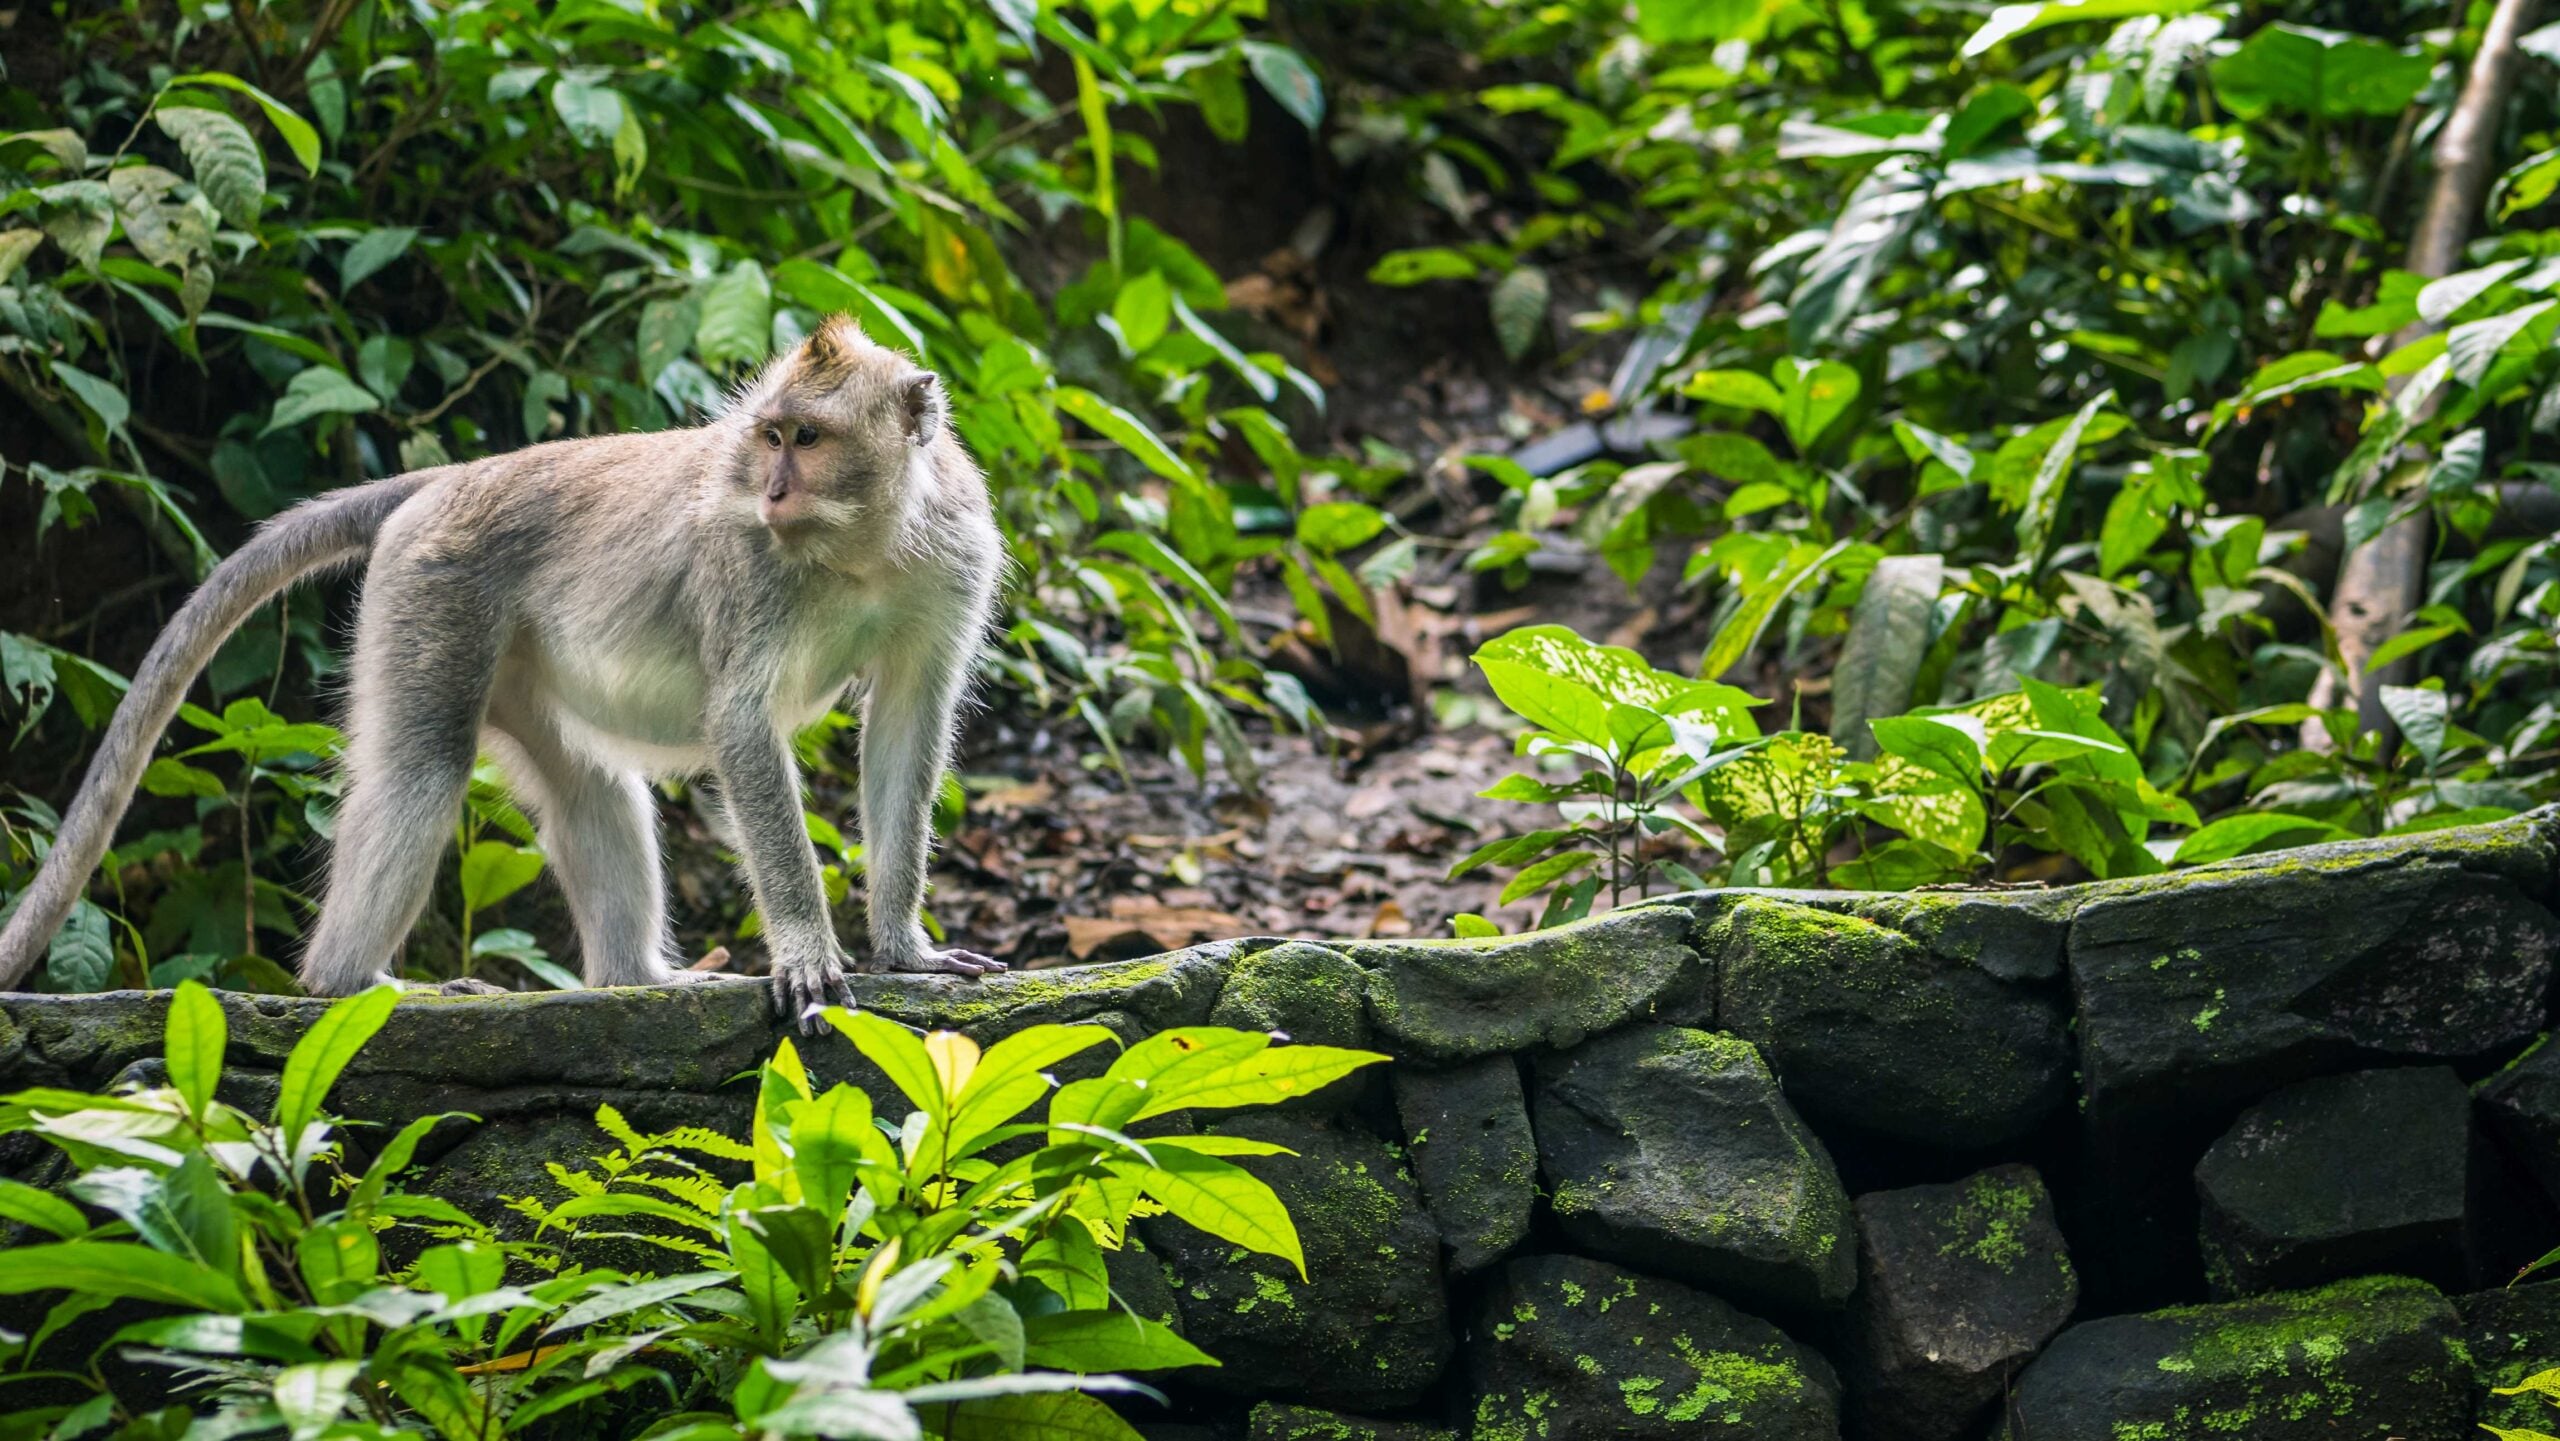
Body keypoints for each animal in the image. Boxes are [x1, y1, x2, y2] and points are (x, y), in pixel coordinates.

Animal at [0, 316, 1005, 1030]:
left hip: (515, 656)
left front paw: (904, 948)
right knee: (422, 768)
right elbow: (743, 725)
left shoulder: (954, 559)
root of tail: (451, 476)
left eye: (811, 437)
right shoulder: (748, 569)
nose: (772, 488)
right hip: (431, 590)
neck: (860, 547)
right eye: (771, 436)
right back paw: (352, 981)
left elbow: (907, 727)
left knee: (592, 786)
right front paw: (805, 951)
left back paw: (638, 979)